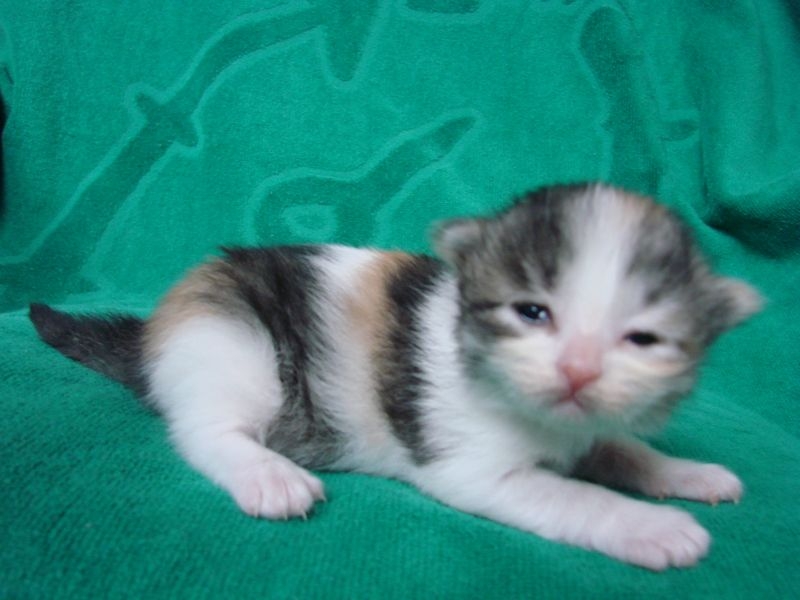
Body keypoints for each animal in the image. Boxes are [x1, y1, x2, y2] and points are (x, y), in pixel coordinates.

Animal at [30, 183, 761, 570]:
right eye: (532, 312)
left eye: (643, 339)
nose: (578, 372)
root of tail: (162, 325)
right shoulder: (475, 470)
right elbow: (579, 498)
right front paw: (654, 528)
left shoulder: (588, 427)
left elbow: (624, 449)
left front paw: (688, 474)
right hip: (232, 343)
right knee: (203, 431)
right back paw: (267, 473)